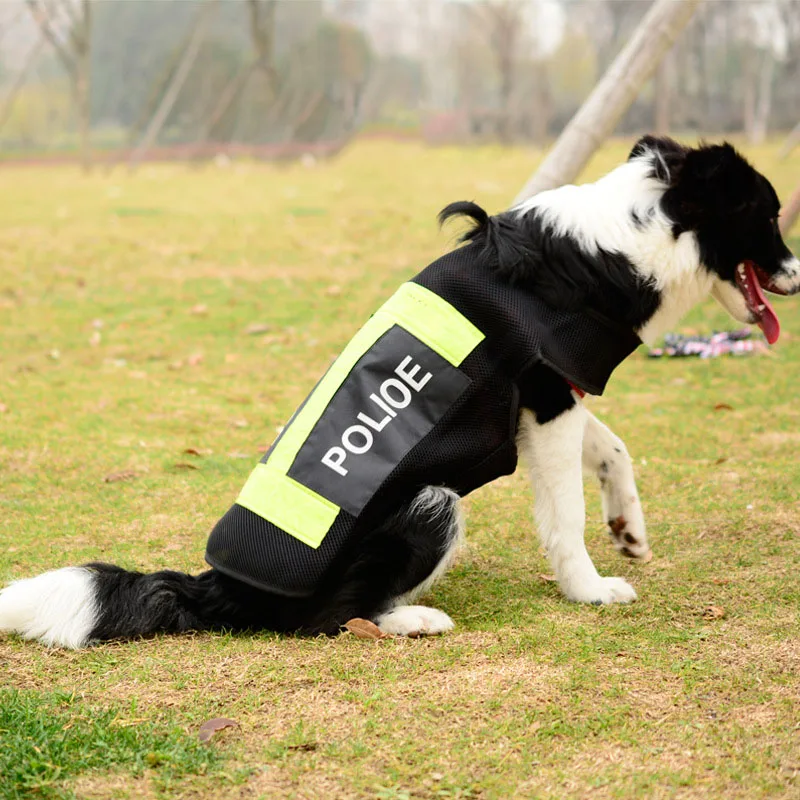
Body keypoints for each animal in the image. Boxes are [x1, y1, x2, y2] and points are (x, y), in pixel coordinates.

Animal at [0, 138, 796, 648]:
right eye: (770, 216)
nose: (799, 273)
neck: (624, 237)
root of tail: (219, 586)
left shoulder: (550, 394)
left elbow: (614, 450)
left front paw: (628, 528)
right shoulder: (548, 402)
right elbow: (564, 516)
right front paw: (589, 590)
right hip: (430, 504)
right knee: (326, 620)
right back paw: (411, 621)